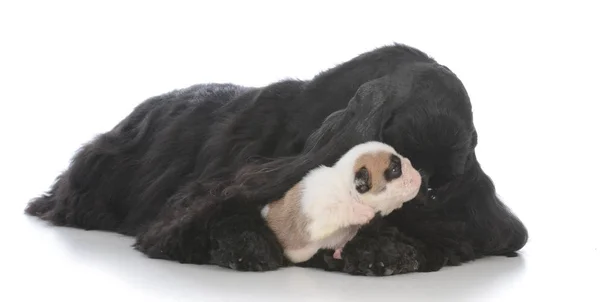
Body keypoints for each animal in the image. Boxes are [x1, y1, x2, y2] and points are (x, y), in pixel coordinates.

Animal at [262, 140, 422, 264]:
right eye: (395, 169)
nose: (418, 176)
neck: (347, 190)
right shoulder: (316, 218)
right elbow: (339, 210)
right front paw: (362, 211)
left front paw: (340, 251)